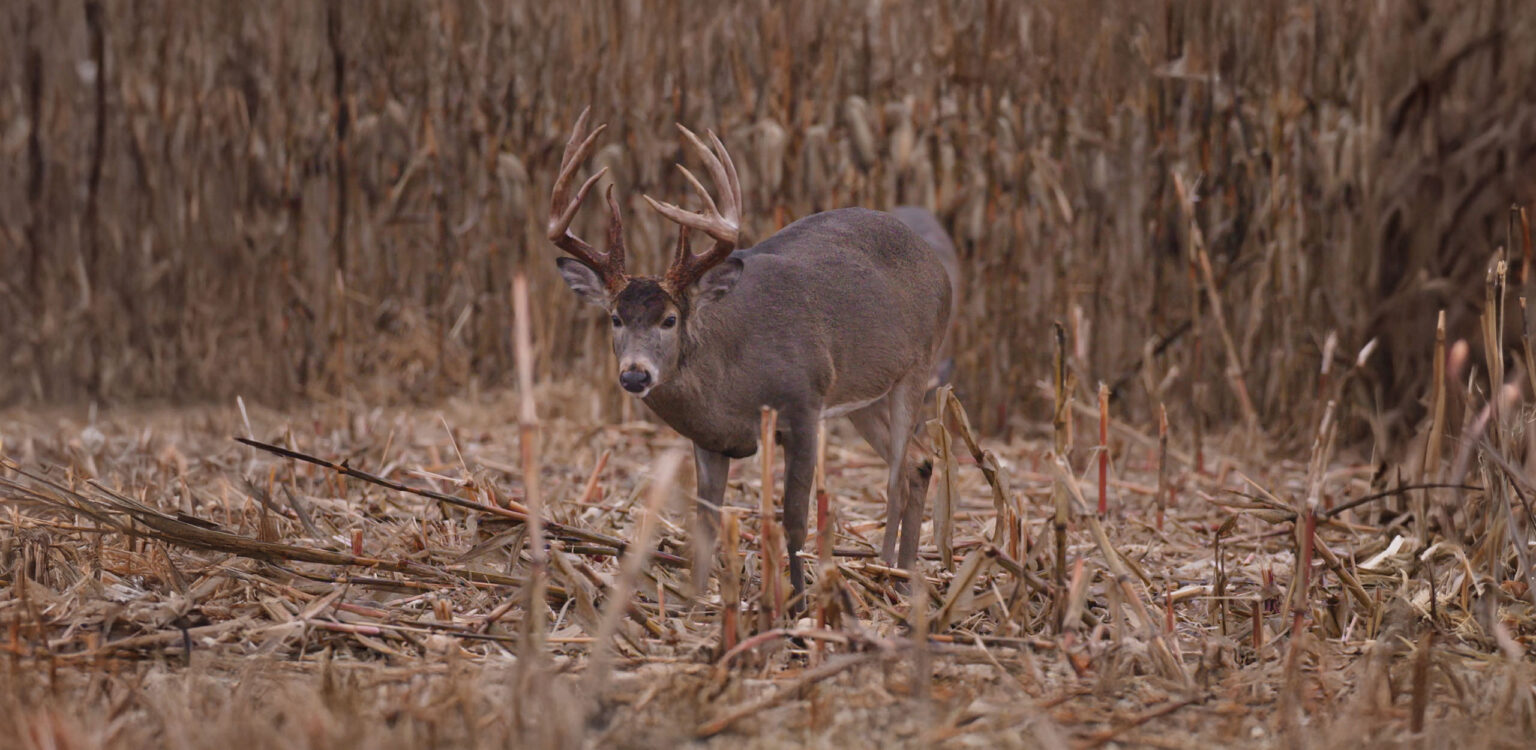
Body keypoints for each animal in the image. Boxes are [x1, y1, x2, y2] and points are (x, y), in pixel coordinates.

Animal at [546, 109, 953, 608]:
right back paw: (906, 572)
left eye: (669, 319)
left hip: (917, 365)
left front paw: (798, 602)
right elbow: (704, 524)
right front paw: (697, 601)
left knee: (898, 473)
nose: (636, 375)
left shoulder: (803, 405)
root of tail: (934, 261)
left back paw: (887, 570)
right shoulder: (709, 437)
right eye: (615, 318)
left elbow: (793, 517)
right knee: (920, 460)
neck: (730, 379)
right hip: (864, 394)